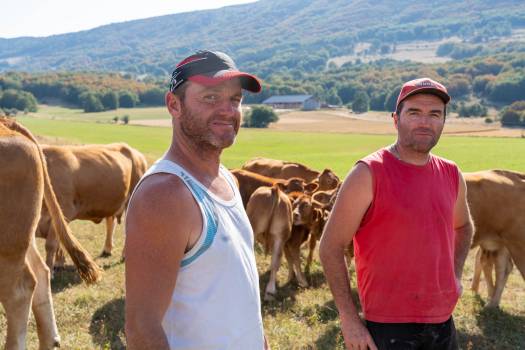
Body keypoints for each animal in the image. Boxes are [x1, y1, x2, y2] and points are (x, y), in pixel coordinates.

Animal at [36, 142, 147, 270]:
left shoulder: (64, 210)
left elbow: (52, 243)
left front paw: (50, 268)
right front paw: (59, 263)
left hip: (131, 198)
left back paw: (124, 255)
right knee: (110, 222)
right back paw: (107, 249)